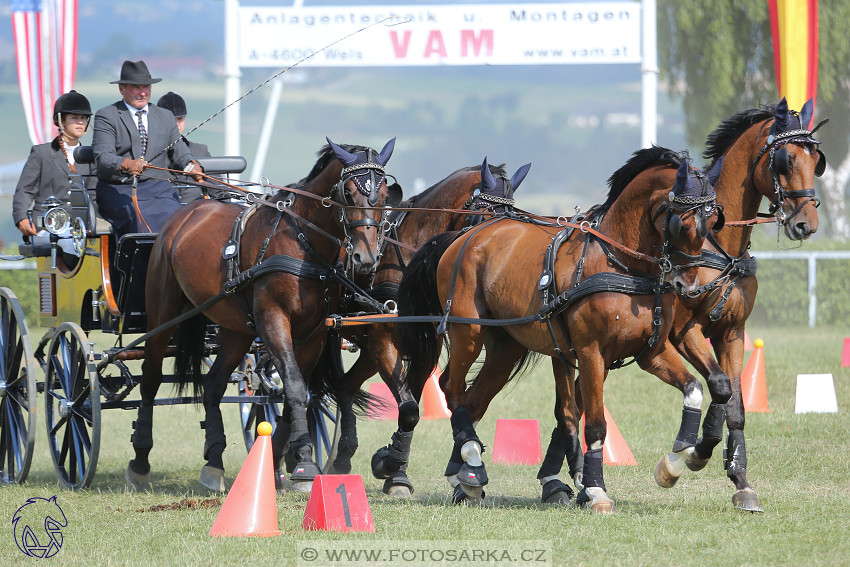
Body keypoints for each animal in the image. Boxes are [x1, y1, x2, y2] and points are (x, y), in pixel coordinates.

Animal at [124, 138, 402, 492]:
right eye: (348, 192)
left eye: (384, 194)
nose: (365, 259)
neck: (302, 243)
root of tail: (188, 212)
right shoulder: (273, 319)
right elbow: (294, 386)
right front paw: (305, 462)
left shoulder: (313, 334)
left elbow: (299, 390)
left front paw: (277, 463)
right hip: (162, 313)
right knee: (151, 378)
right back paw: (140, 462)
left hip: (235, 329)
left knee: (213, 385)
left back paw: (214, 463)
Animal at [326, 158, 520, 494]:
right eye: (487, 215)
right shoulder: (383, 343)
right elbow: (408, 409)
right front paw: (390, 465)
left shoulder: (422, 349)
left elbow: (412, 406)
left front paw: (395, 469)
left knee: (345, 387)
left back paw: (341, 458)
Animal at [398, 158, 724, 512]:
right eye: (683, 224)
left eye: (713, 221)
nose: (690, 286)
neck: (620, 264)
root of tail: (463, 236)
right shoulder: (591, 352)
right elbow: (594, 423)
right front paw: (595, 489)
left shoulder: (650, 352)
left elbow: (693, 389)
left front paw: (675, 463)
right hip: (467, 331)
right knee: (450, 386)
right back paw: (471, 460)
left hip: (505, 348)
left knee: (474, 401)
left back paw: (465, 475)